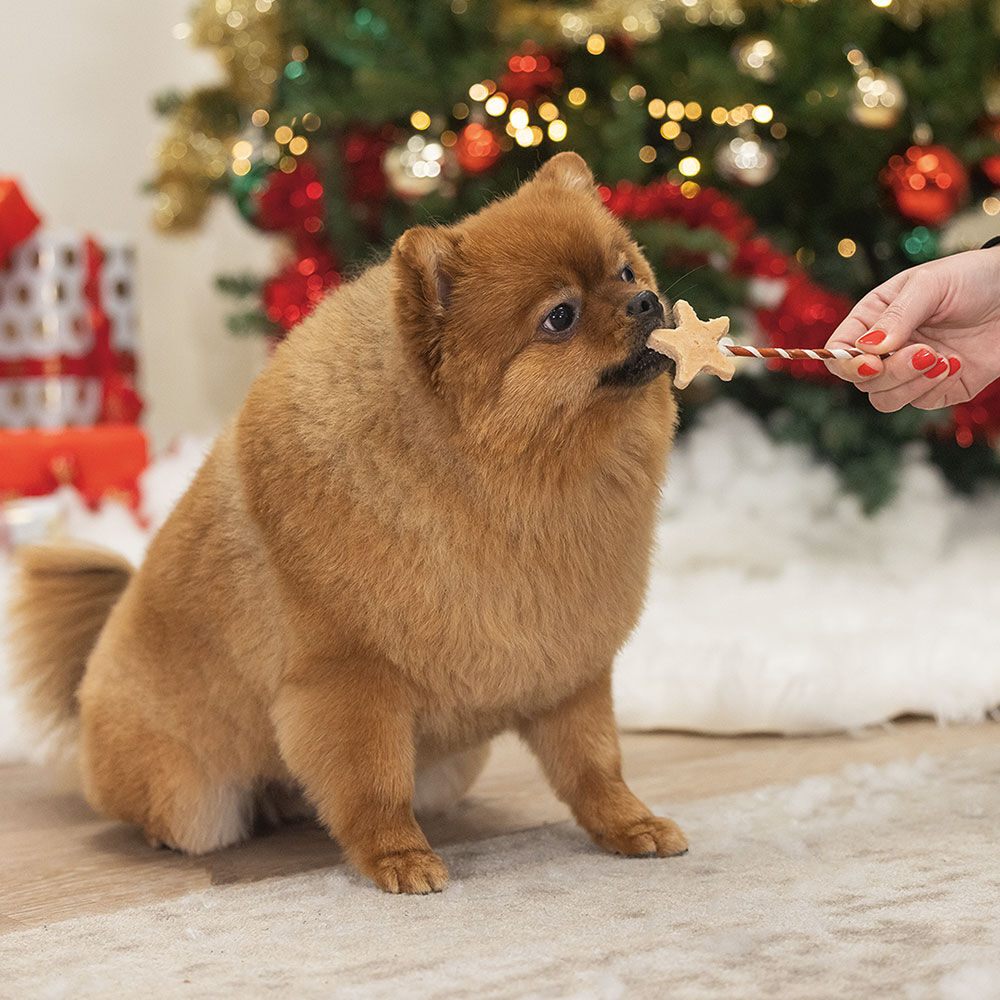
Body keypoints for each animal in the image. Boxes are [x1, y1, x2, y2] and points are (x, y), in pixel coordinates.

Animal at [11, 152, 688, 896]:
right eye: (560, 316)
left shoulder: (568, 667)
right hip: (191, 796)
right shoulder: (351, 680)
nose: (647, 302)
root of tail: (91, 676)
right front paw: (397, 856)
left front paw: (631, 825)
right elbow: (373, 787)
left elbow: (595, 766)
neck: (504, 483)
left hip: (453, 765)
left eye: (626, 272)